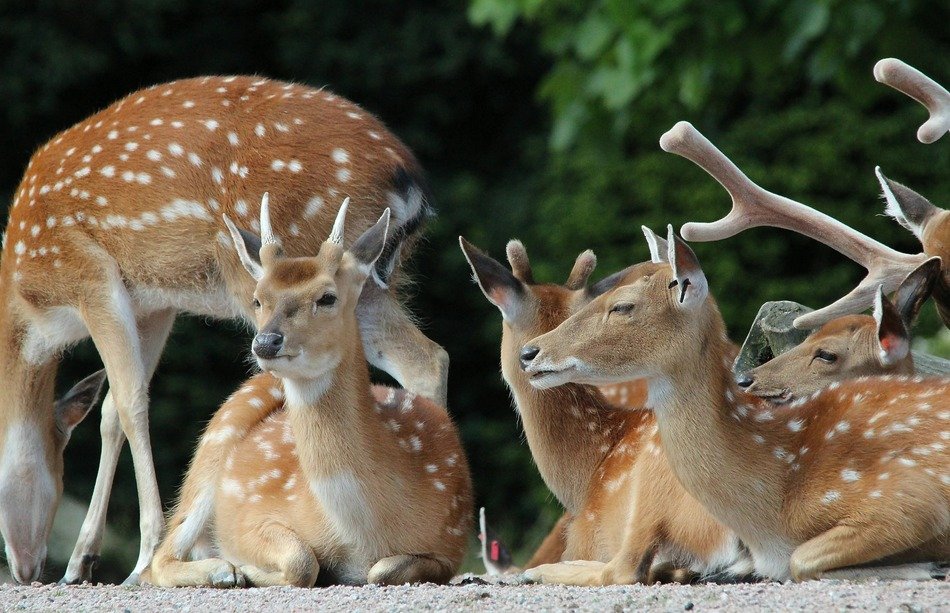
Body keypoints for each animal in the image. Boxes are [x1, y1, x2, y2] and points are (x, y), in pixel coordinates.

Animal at [145, 197, 471, 587]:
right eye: (258, 299)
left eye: (327, 297)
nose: (266, 342)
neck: (364, 533)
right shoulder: (250, 516)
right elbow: (302, 560)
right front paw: (246, 569)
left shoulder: (449, 544)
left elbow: (382, 570)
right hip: (216, 438)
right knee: (160, 556)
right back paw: (222, 570)